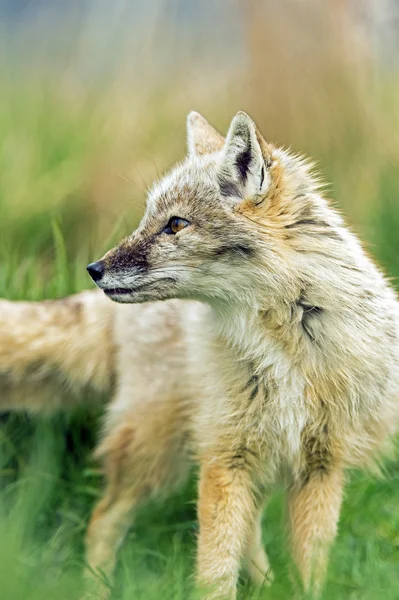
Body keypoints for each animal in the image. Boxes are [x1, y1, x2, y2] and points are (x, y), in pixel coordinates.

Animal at [0, 112, 399, 600]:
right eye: (149, 218)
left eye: (175, 224)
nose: (94, 269)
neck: (285, 350)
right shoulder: (224, 458)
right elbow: (215, 568)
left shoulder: (321, 466)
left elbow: (307, 571)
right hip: (156, 452)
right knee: (103, 519)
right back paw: (97, 589)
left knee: (248, 531)